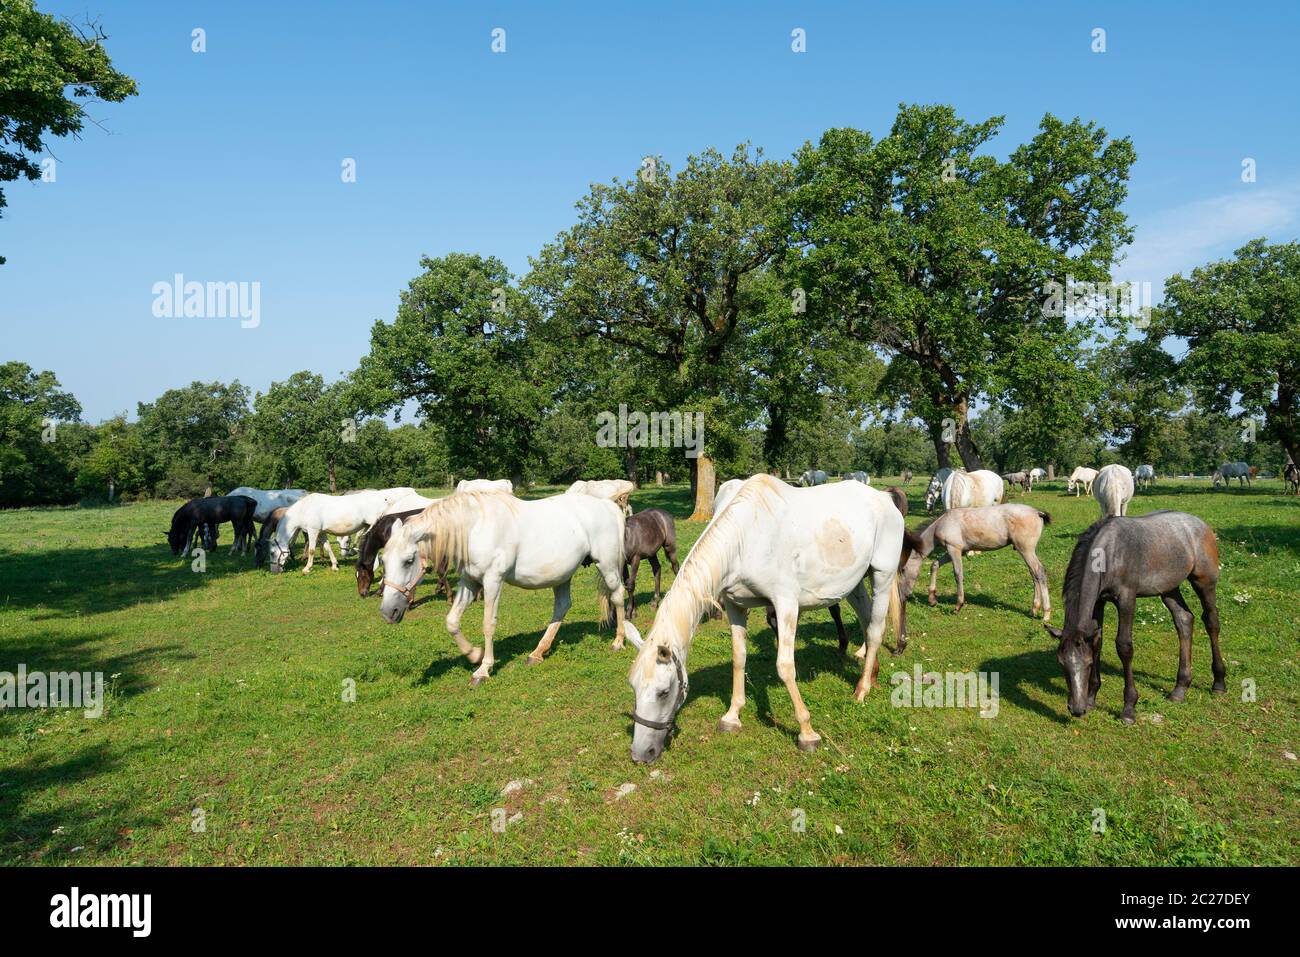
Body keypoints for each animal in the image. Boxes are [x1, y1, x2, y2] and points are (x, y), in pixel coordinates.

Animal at [267, 489, 410, 572]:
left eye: (272, 553)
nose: (274, 571)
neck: (305, 509)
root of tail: (386, 499)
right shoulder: (321, 532)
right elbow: (328, 547)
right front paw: (334, 565)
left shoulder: (313, 531)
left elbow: (312, 550)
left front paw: (307, 568)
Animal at [378, 491, 628, 686]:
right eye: (383, 560)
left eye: (409, 560)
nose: (388, 612)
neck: (474, 528)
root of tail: (607, 505)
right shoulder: (469, 581)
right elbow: (452, 621)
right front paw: (473, 654)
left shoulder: (492, 580)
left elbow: (488, 624)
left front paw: (483, 669)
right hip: (562, 575)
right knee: (562, 606)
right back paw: (538, 652)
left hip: (607, 566)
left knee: (617, 596)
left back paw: (618, 641)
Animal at [624, 475, 915, 762]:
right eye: (633, 688)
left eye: (664, 691)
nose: (641, 754)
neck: (746, 537)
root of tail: (885, 499)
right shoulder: (735, 606)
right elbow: (739, 658)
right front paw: (732, 716)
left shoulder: (786, 604)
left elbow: (785, 667)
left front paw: (807, 732)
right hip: (853, 584)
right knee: (867, 622)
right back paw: (872, 675)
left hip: (882, 575)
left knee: (875, 630)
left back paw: (862, 689)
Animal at [896, 504, 1052, 652]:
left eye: (903, 570)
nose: (904, 594)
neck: (941, 523)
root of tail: (1037, 512)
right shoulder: (954, 551)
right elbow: (934, 565)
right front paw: (932, 599)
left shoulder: (954, 549)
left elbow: (958, 574)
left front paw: (958, 606)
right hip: (1026, 551)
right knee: (1034, 574)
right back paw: (1034, 609)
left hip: (1026, 550)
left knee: (1039, 572)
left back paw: (1046, 613)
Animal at [1047, 511, 1225, 724]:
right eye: (1061, 663)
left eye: (1088, 663)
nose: (1076, 709)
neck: (1109, 553)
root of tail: (1202, 525)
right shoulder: (1098, 602)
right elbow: (1098, 642)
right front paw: (1091, 698)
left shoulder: (1126, 599)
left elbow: (1124, 647)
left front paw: (1129, 708)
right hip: (1169, 589)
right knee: (1184, 620)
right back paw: (1180, 689)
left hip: (1205, 582)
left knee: (1211, 622)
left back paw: (1219, 682)